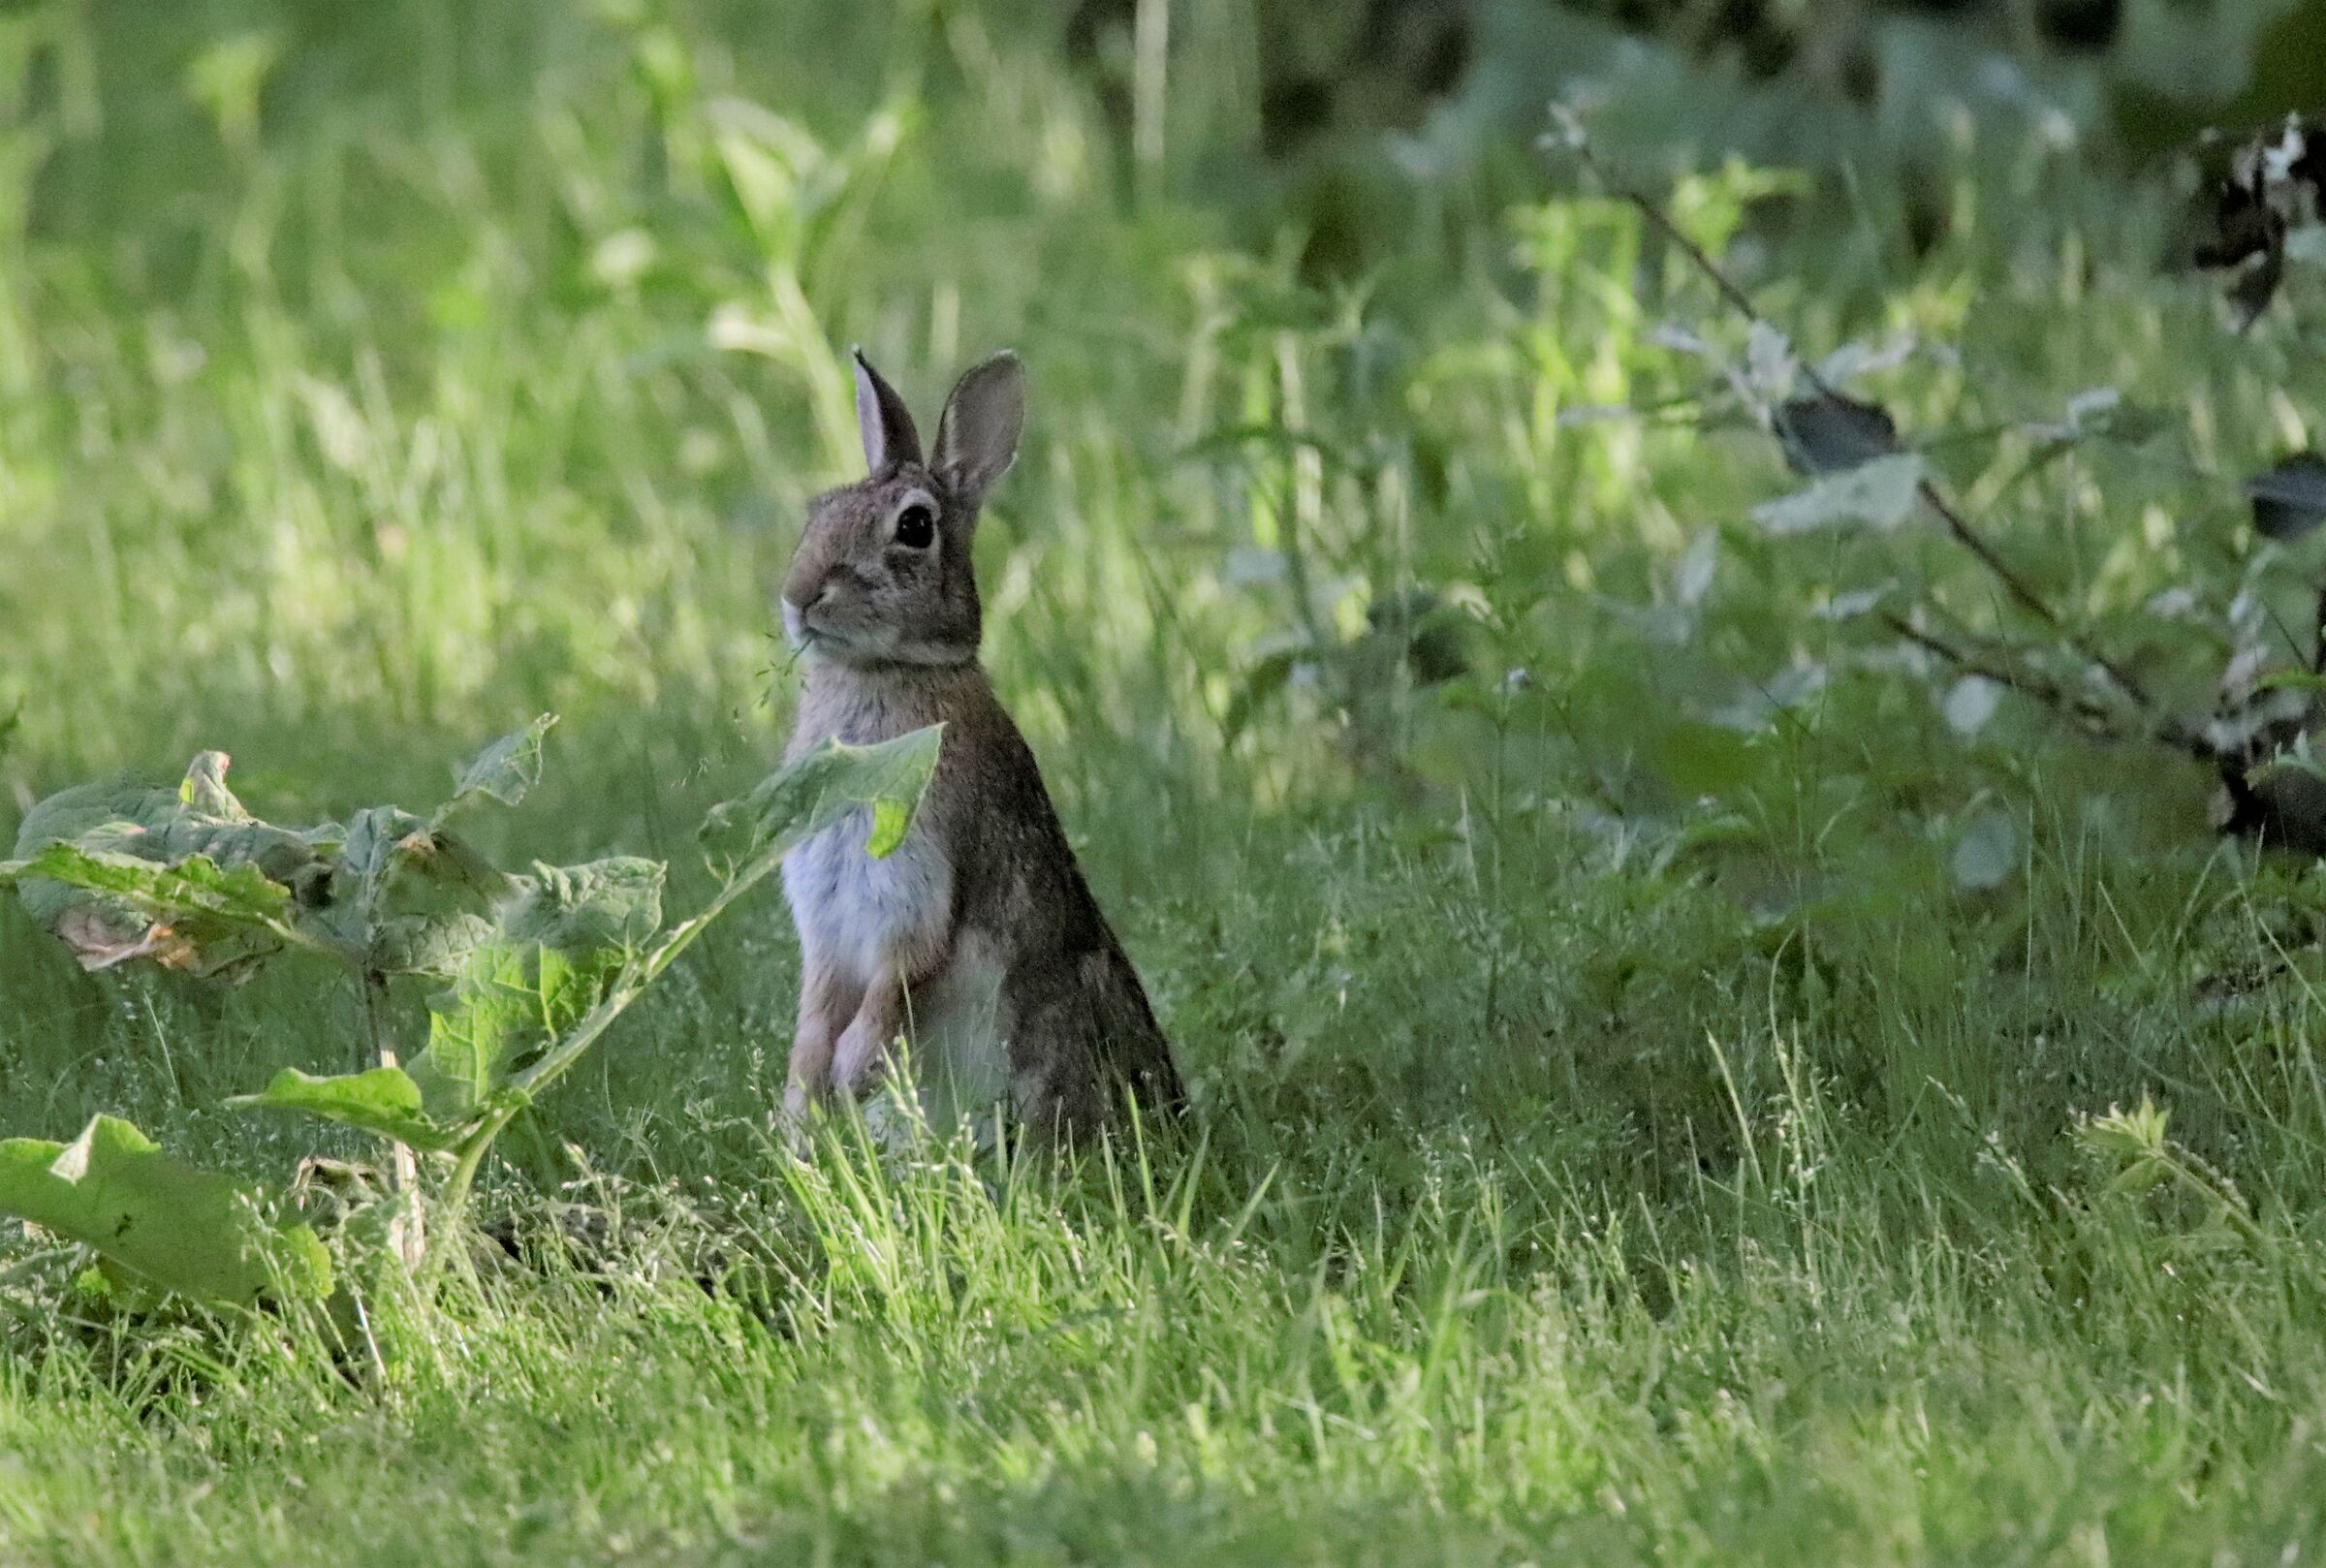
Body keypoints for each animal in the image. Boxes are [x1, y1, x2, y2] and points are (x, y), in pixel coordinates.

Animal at [777, 348, 1185, 1143]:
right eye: (819, 510)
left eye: (914, 526)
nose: (799, 593)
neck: (887, 671)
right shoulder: (826, 924)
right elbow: (815, 1007)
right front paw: (801, 1102)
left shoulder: (917, 887)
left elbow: (897, 982)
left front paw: (851, 1072)